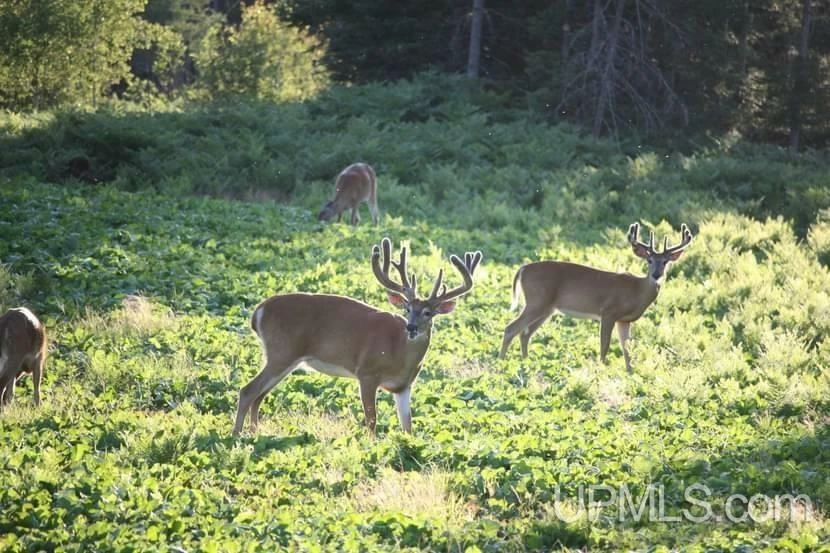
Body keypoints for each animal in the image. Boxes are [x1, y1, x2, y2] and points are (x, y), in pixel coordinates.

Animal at [233, 237, 482, 436]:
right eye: (408, 309)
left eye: (428, 312)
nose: (411, 327)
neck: (399, 354)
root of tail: (258, 312)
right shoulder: (367, 372)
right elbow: (371, 419)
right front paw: (372, 445)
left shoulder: (404, 386)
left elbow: (407, 425)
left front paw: (406, 445)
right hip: (282, 351)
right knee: (248, 391)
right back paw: (236, 436)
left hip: (285, 359)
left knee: (259, 395)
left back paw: (254, 432)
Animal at [500, 223, 693, 372]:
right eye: (649, 260)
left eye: (665, 262)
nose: (656, 275)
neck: (636, 291)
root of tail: (522, 269)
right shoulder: (608, 312)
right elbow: (604, 345)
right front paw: (601, 369)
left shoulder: (625, 320)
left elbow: (627, 349)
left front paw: (631, 373)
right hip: (537, 301)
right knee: (511, 328)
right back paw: (501, 363)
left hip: (546, 308)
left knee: (524, 333)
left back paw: (526, 362)